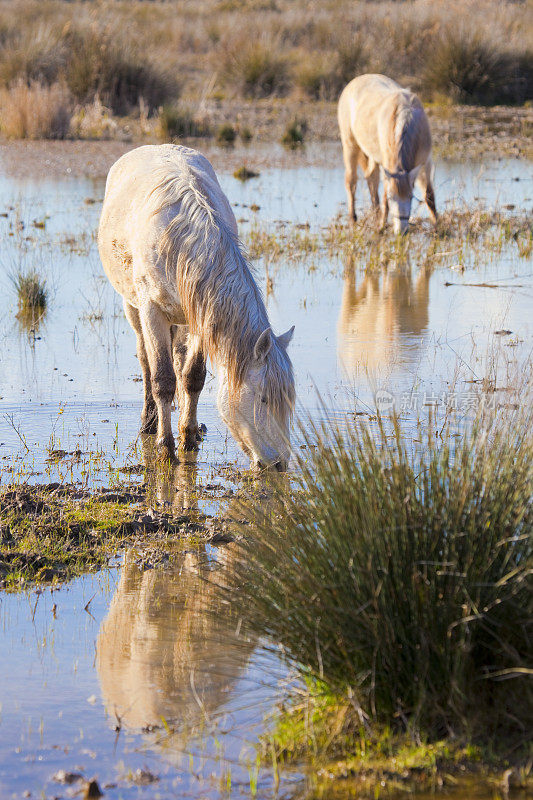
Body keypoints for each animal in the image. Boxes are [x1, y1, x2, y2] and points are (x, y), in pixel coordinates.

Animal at [98, 145, 296, 468]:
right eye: (263, 399)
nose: (279, 464)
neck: (179, 238)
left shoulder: (203, 317)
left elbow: (192, 377)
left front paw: (188, 438)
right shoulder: (151, 310)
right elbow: (162, 379)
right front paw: (166, 449)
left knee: (179, 360)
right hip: (133, 307)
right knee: (145, 360)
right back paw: (149, 422)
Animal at [336, 72, 436, 233]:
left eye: (411, 197)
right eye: (391, 197)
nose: (401, 232)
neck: (406, 119)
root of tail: (354, 81)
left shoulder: (425, 162)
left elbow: (429, 195)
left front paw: (437, 227)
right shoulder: (387, 163)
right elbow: (384, 197)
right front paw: (382, 226)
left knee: (371, 178)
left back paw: (375, 212)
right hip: (350, 145)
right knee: (351, 181)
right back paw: (353, 219)